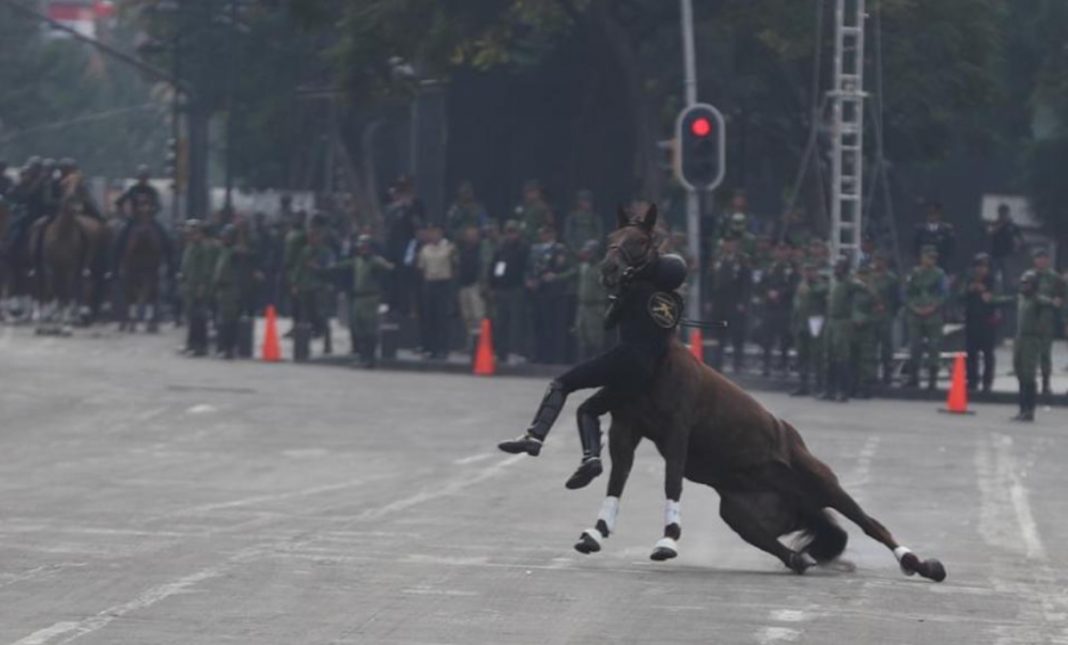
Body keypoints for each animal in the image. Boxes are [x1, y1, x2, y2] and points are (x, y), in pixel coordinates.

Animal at [570, 205, 946, 583]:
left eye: (641, 241)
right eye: (612, 237)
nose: (609, 269)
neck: (656, 360)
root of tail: (797, 495)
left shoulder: (677, 431)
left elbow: (671, 480)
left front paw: (667, 540)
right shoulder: (626, 430)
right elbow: (617, 479)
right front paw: (595, 532)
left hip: (824, 483)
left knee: (871, 524)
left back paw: (921, 564)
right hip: (740, 513)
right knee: (783, 546)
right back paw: (802, 560)